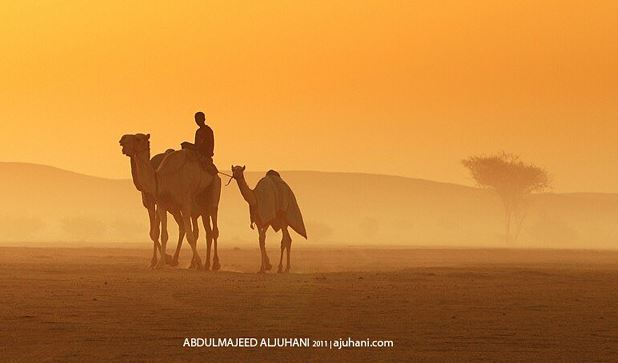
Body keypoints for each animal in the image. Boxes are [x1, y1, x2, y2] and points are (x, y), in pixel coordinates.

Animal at [118, 134, 221, 270]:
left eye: (138, 139)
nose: (122, 139)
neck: (161, 179)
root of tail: (216, 173)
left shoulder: (184, 204)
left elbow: (189, 236)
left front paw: (198, 262)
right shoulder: (162, 205)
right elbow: (162, 234)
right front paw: (160, 263)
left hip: (214, 195)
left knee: (214, 230)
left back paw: (214, 264)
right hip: (198, 209)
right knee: (205, 232)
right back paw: (203, 264)